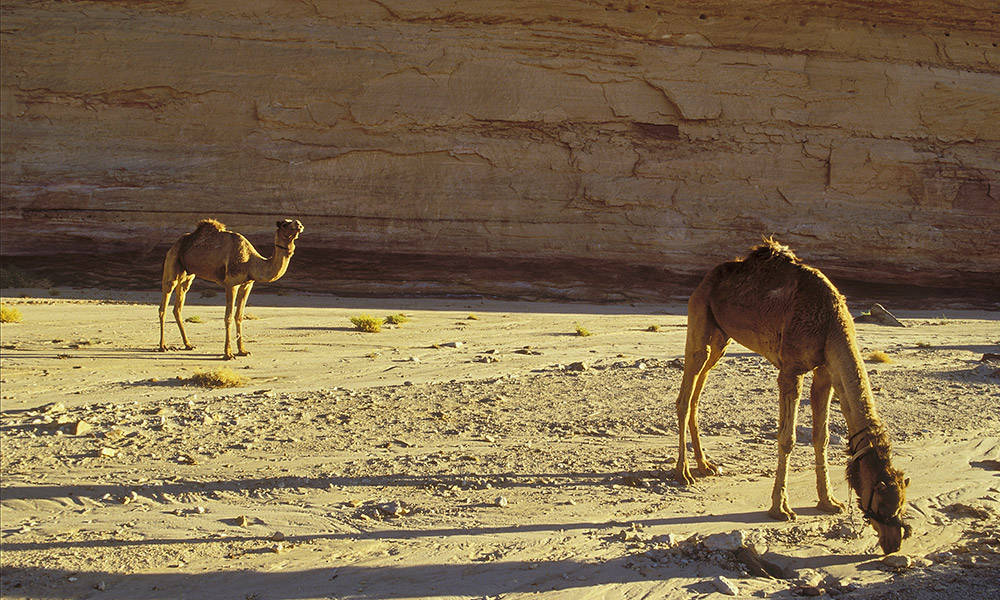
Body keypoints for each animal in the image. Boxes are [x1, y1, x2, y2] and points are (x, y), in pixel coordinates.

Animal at [156, 218, 302, 358]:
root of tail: (175, 244)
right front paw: (228, 354)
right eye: (284, 224)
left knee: (178, 307)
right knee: (164, 303)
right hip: (172, 263)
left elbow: (239, 316)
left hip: (188, 275)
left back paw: (188, 344)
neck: (251, 262)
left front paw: (243, 351)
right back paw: (163, 346)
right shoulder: (231, 283)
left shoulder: (247, 284)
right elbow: (229, 317)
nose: (299, 225)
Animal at [676, 238, 912, 552]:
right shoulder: (791, 369)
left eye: (902, 505)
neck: (830, 323)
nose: (894, 543)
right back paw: (683, 473)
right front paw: (781, 509)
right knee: (685, 393)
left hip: (721, 337)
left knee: (696, 395)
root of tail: (707, 278)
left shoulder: (825, 371)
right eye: (884, 503)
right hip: (700, 314)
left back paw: (705, 465)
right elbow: (787, 439)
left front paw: (829, 502)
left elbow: (821, 437)